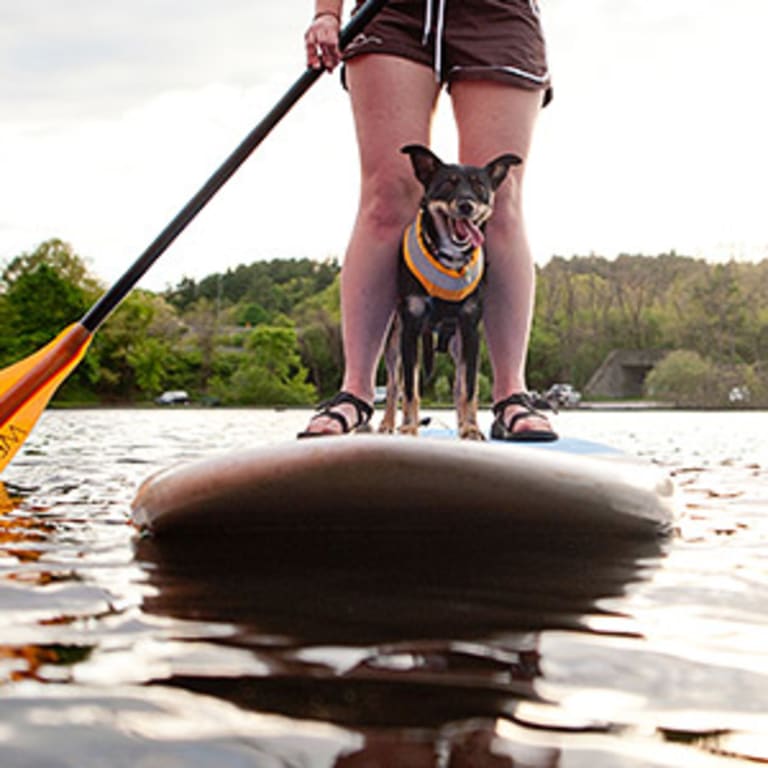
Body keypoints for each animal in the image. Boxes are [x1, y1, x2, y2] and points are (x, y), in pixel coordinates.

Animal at [378, 146, 520, 438]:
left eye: (479, 186)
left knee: (456, 387)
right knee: (394, 385)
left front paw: (470, 428)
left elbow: (469, 388)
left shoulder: (470, 331)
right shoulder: (410, 329)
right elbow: (410, 388)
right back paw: (387, 423)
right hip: (394, 340)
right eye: (448, 183)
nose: (466, 205)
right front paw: (409, 426)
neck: (450, 260)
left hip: (456, 344)